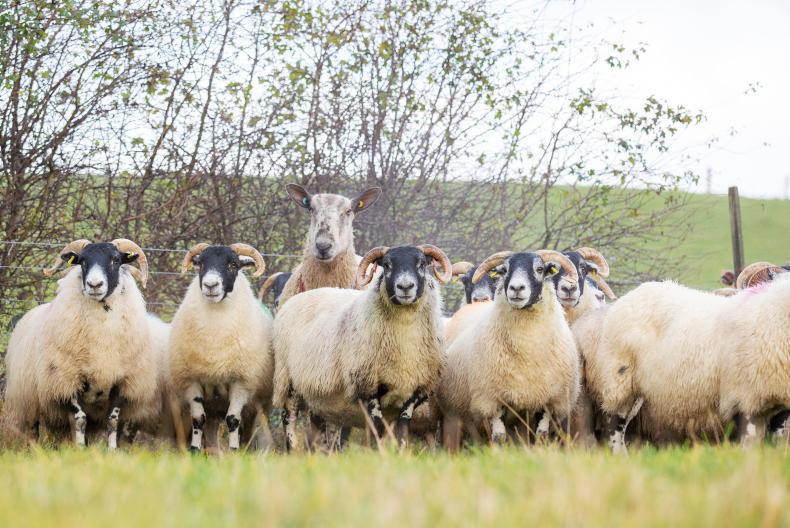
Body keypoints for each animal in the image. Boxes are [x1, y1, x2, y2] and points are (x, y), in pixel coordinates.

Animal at [3, 239, 160, 448]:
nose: (94, 284)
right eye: (82, 261)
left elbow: (112, 420)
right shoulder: (67, 380)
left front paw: (112, 450)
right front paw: (79, 450)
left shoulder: (122, 381)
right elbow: (79, 419)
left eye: (116, 260)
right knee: (32, 430)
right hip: (28, 400)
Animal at [168, 242, 274, 452]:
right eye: (200, 264)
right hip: (214, 406)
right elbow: (198, 419)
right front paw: (194, 451)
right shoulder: (192, 381)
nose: (210, 285)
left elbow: (233, 420)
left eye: (233, 264)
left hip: (257, 404)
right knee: (210, 427)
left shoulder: (241, 382)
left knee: (248, 426)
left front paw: (234, 452)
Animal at [272, 244, 452, 451]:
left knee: (319, 428)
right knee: (289, 420)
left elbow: (402, 432)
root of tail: (293, 300)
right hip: (288, 382)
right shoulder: (368, 387)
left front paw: (399, 453)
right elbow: (379, 430)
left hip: (320, 391)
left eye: (422, 263)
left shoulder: (414, 392)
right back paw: (293, 449)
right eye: (387, 265)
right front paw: (382, 454)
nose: (405, 287)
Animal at [437, 250, 581, 448]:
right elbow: (499, 438)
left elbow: (541, 435)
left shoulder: (549, 401)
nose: (516, 288)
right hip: (455, 412)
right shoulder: (491, 400)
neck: (528, 346)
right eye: (504, 270)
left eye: (540, 269)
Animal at [586, 263, 789, 452]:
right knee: (614, 427)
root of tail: (634, 294)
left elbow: (778, 441)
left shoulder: (780, 405)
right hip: (618, 380)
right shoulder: (745, 398)